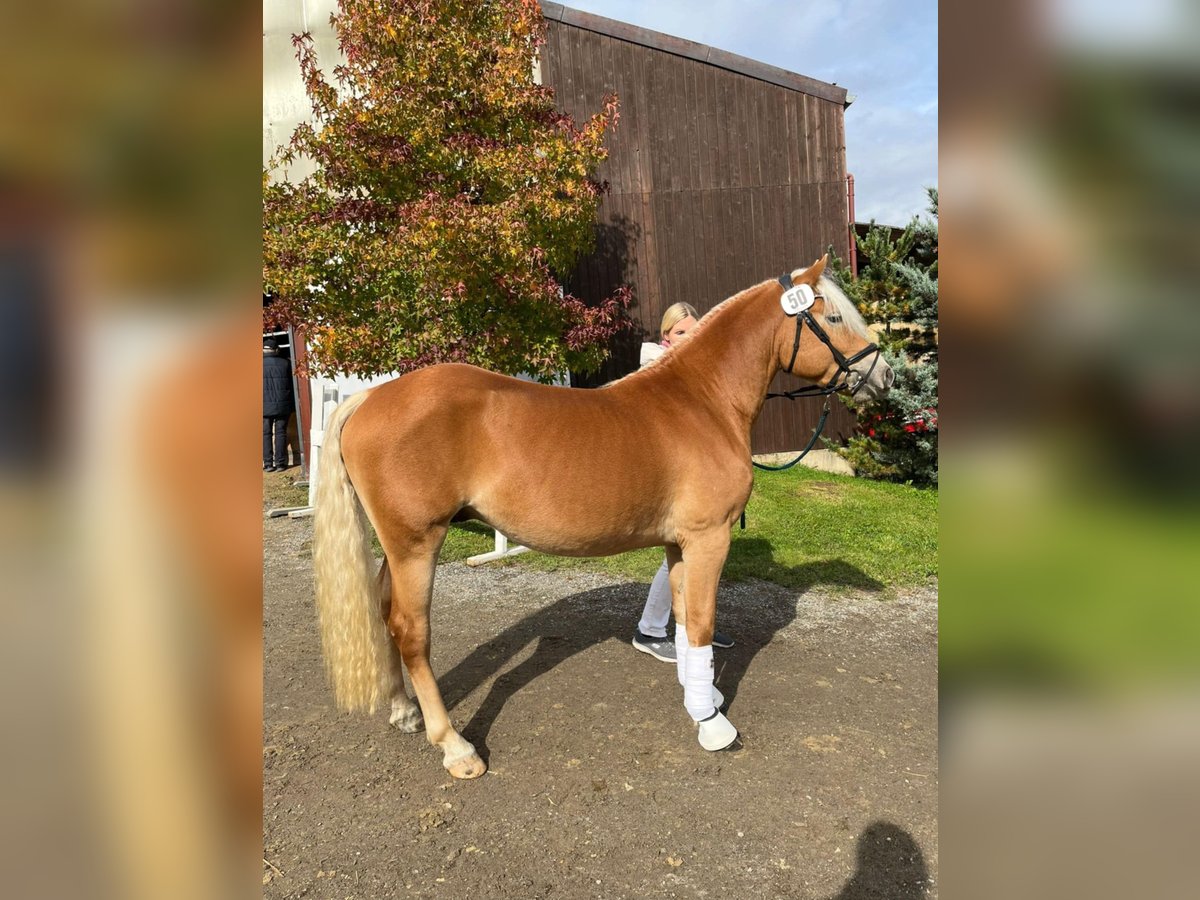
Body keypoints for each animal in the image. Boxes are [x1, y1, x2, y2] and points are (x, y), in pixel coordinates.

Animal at [312, 256, 892, 777]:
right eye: (832, 318)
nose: (883, 374)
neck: (701, 402)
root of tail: (369, 397)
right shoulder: (709, 538)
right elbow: (703, 622)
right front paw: (712, 724)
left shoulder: (679, 544)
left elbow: (684, 619)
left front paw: (698, 694)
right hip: (417, 543)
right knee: (411, 631)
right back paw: (455, 747)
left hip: (397, 547)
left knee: (383, 611)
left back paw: (404, 710)